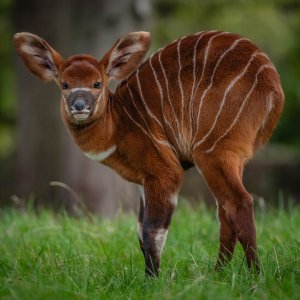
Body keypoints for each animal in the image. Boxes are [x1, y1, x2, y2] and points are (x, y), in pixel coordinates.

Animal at [13, 30, 284, 276]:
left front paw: (152, 281)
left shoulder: (164, 171)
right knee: (224, 210)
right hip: (233, 158)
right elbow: (140, 231)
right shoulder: (144, 181)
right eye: (65, 84)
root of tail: (273, 86)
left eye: (97, 83)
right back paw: (218, 275)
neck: (118, 122)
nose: (79, 106)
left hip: (212, 151)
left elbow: (153, 231)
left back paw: (254, 276)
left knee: (239, 203)